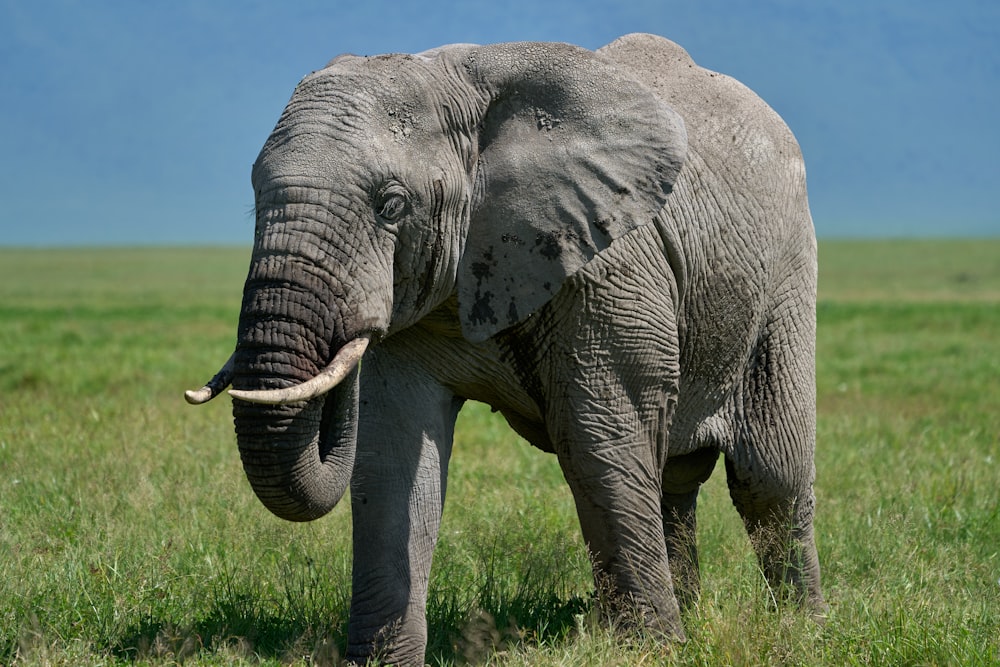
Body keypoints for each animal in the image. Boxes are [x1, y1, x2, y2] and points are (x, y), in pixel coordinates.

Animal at [186, 32, 820, 667]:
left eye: (391, 205)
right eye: (254, 199)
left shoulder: (606, 269)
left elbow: (600, 439)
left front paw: (649, 654)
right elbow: (393, 455)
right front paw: (383, 663)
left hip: (785, 274)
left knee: (770, 477)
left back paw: (802, 628)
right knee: (674, 477)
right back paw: (695, 613)